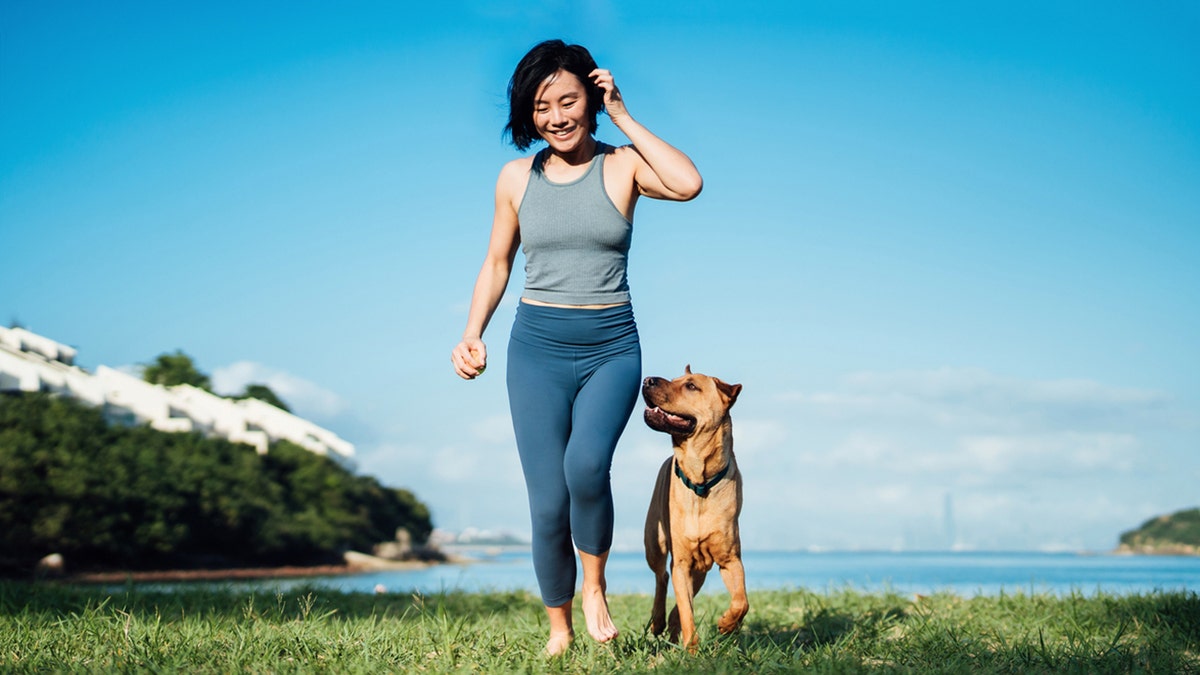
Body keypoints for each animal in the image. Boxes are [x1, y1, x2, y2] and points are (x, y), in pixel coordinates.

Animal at [643, 365, 744, 648]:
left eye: (691, 386)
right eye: (675, 379)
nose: (647, 379)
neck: (701, 482)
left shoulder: (730, 558)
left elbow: (741, 601)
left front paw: (727, 624)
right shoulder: (682, 562)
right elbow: (687, 611)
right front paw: (692, 649)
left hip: (700, 569)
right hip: (654, 543)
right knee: (662, 578)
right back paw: (658, 621)